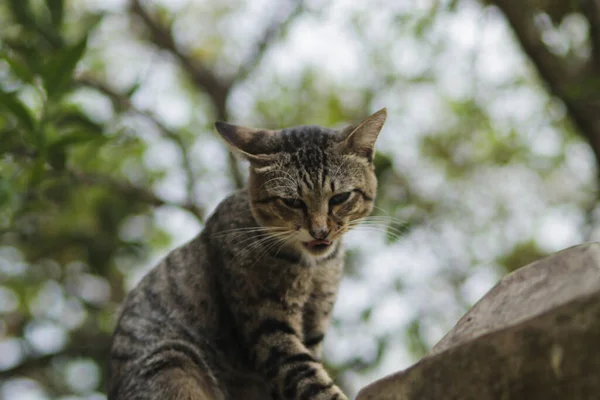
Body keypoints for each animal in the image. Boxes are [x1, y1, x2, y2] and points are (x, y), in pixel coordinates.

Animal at [106, 108, 390, 398]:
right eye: (292, 202)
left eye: (340, 198)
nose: (319, 231)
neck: (314, 268)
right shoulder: (268, 326)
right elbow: (308, 377)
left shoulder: (315, 325)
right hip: (172, 361)